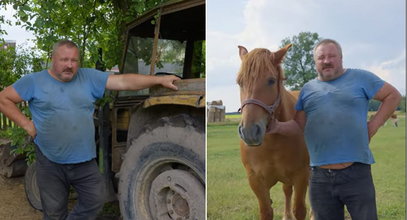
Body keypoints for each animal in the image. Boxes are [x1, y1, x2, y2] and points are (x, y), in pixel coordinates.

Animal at [237, 44, 310, 220]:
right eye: (240, 82)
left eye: (271, 80)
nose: (249, 131)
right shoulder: (256, 180)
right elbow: (266, 211)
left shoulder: (302, 175)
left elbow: (300, 210)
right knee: (287, 190)